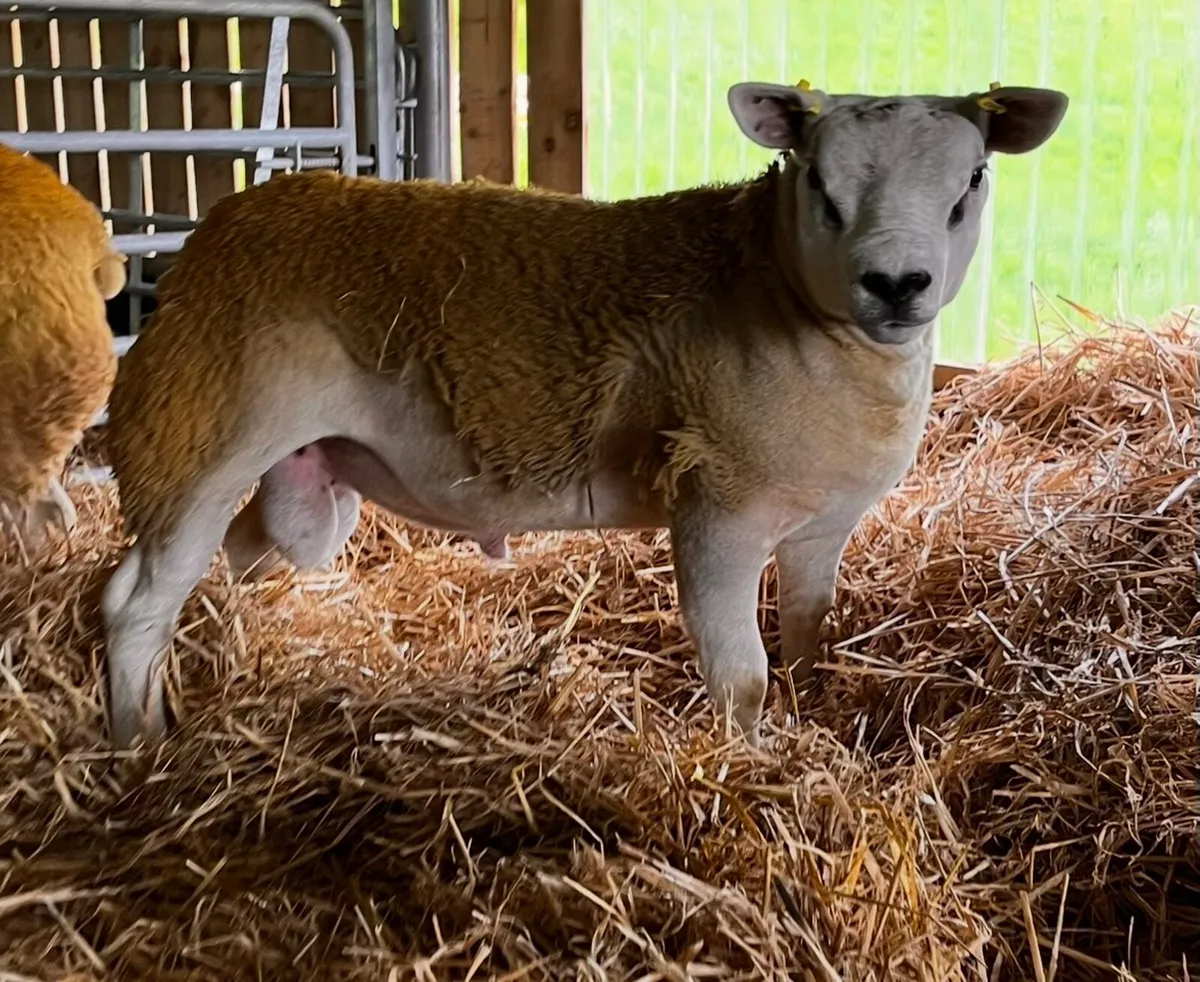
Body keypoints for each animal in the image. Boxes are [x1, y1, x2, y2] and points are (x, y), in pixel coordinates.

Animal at [101, 79, 1068, 749]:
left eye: (972, 179)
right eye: (819, 185)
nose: (896, 283)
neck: (778, 293)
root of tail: (227, 220)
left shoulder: (820, 526)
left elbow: (808, 639)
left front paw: (808, 727)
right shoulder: (716, 510)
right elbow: (743, 677)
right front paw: (753, 765)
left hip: (292, 478)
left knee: (217, 571)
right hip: (200, 432)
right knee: (137, 604)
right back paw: (135, 747)